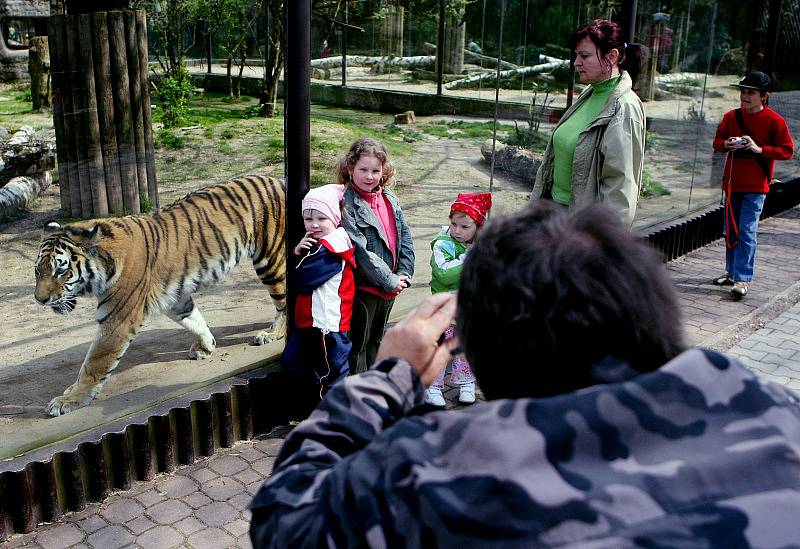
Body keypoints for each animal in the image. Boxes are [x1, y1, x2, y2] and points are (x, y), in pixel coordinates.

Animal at [32, 176, 288, 416]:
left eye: (60, 270)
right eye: (38, 270)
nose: (39, 299)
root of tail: (276, 179)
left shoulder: (117, 320)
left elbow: (95, 363)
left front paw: (68, 400)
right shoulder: (175, 297)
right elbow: (194, 319)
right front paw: (206, 346)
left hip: (271, 260)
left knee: (285, 303)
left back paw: (271, 334)